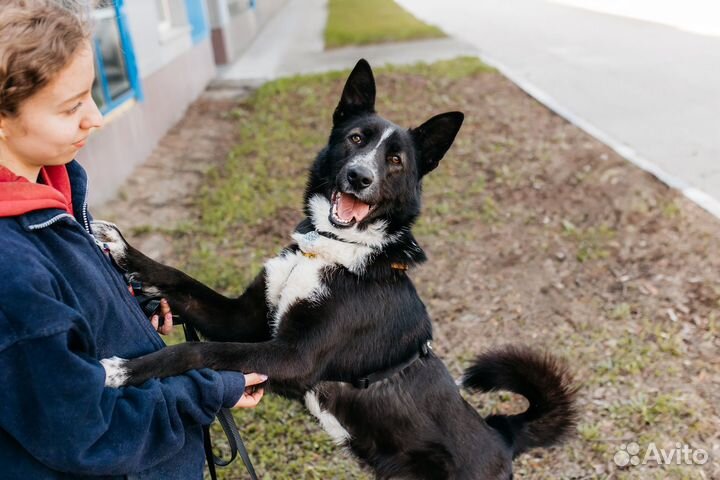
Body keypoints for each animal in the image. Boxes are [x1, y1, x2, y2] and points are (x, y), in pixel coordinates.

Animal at [93, 58, 576, 478]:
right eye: (356, 139)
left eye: (396, 160)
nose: (359, 177)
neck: (329, 248)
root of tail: (501, 435)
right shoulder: (243, 320)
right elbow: (180, 281)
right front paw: (122, 249)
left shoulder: (293, 355)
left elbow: (198, 351)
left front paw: (125, 371)